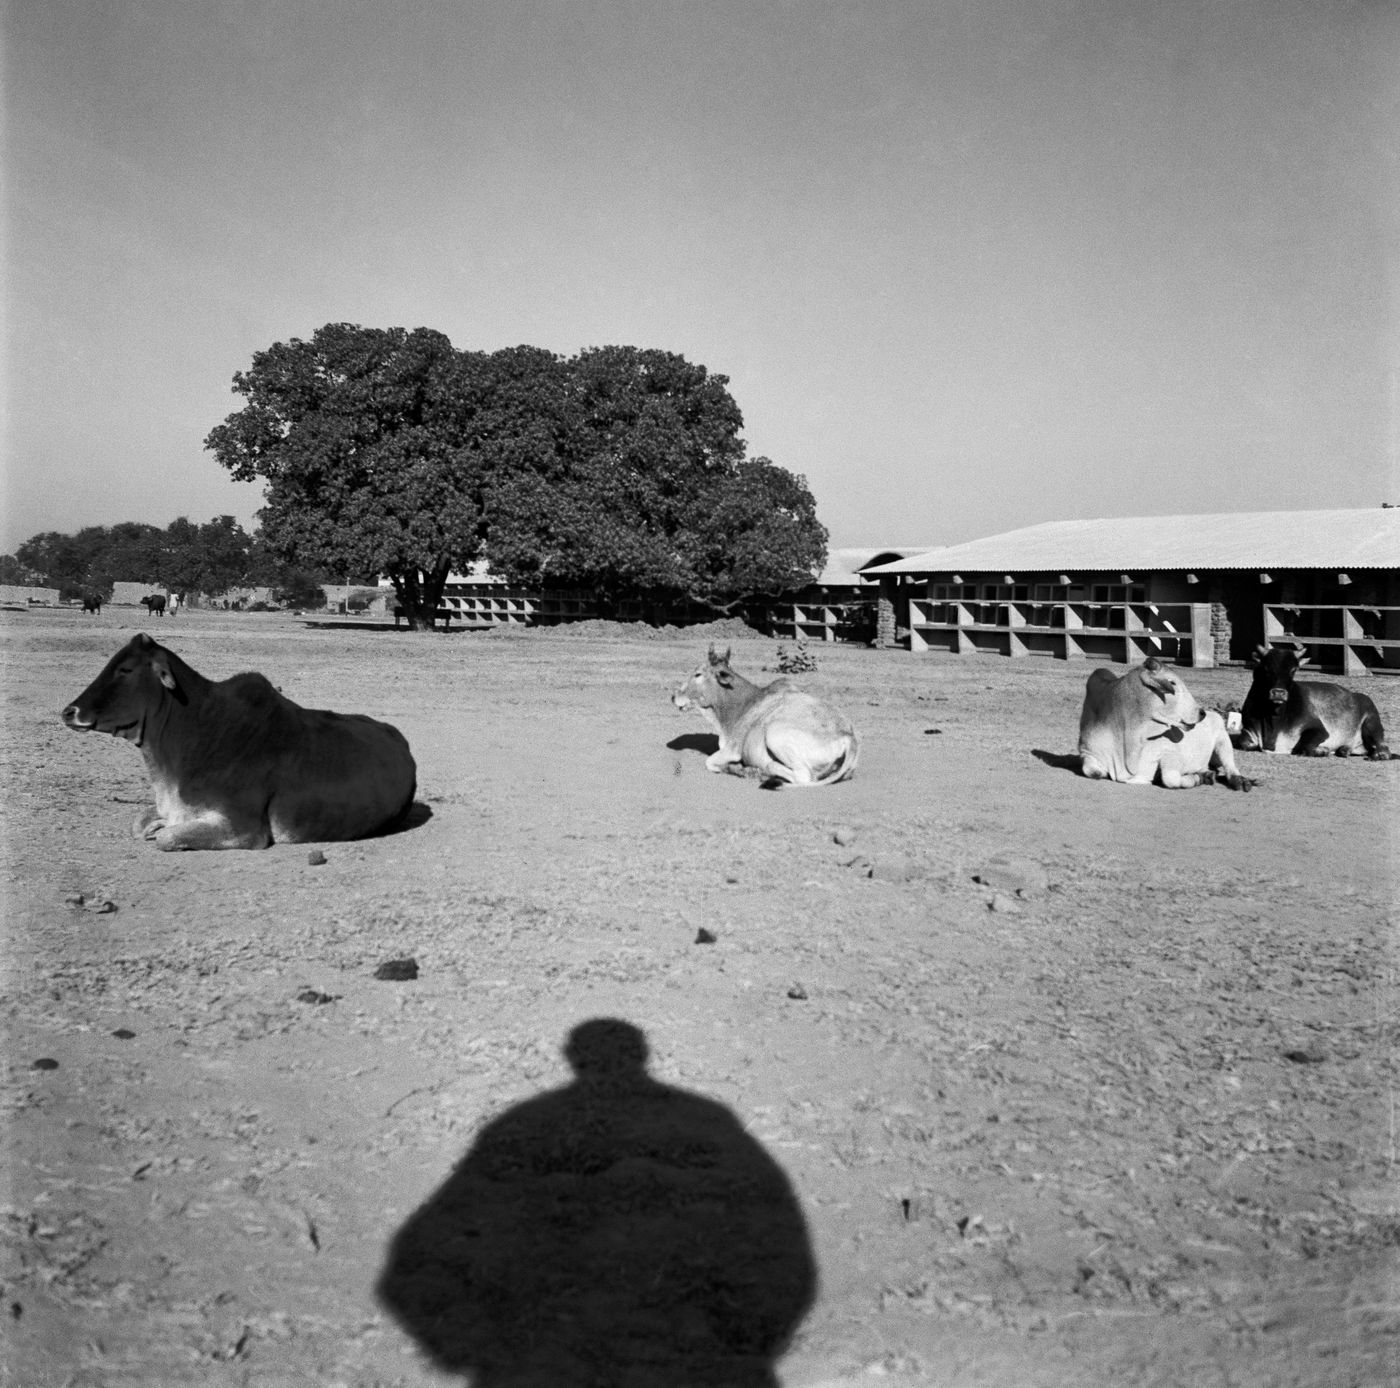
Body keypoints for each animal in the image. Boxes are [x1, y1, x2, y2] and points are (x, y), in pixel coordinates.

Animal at [672, 647, 856, 784]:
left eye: (698, 674)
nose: (674, 696)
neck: (742, 705)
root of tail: (848, 737)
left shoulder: (732, 750)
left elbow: (710, 762)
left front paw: (737, 769)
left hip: (775, 735)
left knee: (800, 776)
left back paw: (759, 772)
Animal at [1075, 652, 1254, 784]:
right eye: (1172, 683)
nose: (1201, 713)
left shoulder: (1169, 752)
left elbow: (1170, 779)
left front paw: (1196, 779)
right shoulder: (1087, 752)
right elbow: (1091, 771)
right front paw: (1200, 776)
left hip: (1223, 740)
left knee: (1230, 766)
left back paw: (1240, 781)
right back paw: (1206, 773)